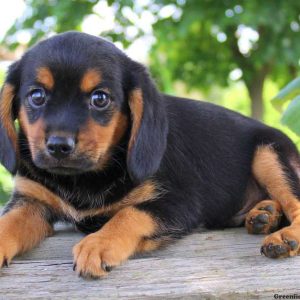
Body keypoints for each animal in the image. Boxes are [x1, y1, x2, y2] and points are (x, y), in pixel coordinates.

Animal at [0, 31, 300, 278]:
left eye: (100, 99)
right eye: (37, 96)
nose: (59, 146)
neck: (83, 179)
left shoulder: (180, 202)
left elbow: (131, 213)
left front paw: (98, 243)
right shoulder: (31, 200)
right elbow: (7, 223)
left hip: (269, 152)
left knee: (294, 202)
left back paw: (283, 236)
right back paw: (264, 214)